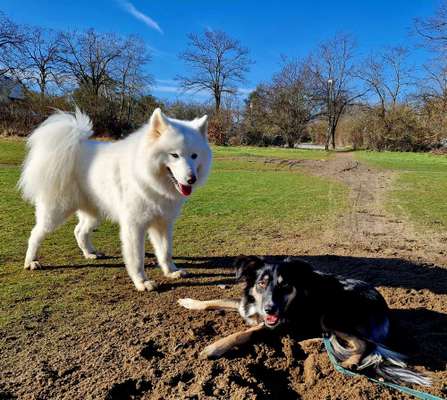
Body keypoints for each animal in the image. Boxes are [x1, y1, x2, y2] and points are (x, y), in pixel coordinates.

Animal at [19, 108, 212, 290]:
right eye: (175, 155)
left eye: (194, 156)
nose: (192, 179)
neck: (148, 177)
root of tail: (74, 146)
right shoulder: (135, 226)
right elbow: (137, 259)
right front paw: (142, 282)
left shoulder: (163, 223)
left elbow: (165, 252)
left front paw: (171, 272)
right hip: (55, 214)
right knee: (35, 234)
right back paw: (31, 262)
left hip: (95, 214)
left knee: (79, 231)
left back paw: (90, 253)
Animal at [178, 255, 430, 386]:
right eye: (261, 283)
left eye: (285, 285)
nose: (270, 308)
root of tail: (383, 307)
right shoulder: (247, 306)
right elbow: (214, 300)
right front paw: (189, 302)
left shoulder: (277, 325)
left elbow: (243, 333)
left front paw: (212, 348)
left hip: (331, 315)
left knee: (366, 344)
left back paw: (348, 362)